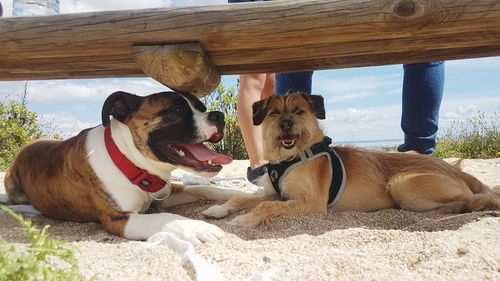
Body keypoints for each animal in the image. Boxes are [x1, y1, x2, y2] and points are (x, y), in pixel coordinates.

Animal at [5, 90, 244, 243]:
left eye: (201, 108)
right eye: (177, 109)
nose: (219, 116)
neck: (128, 161)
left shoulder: (165, 194)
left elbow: (203, 189)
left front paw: (233, 195)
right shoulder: (118, 219)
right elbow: (164, 217)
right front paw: (196, 227)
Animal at [203, 93, 500, 226]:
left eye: (299, 111)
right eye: (274, 113)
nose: (286, 124)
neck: (291, 158)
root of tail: (455, 170)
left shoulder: (311, 202)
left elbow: (265, 207)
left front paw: (243, 220)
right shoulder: (277, 194)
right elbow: (240, 198)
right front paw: (218, 210)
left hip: (403, 183)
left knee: (474, 201)